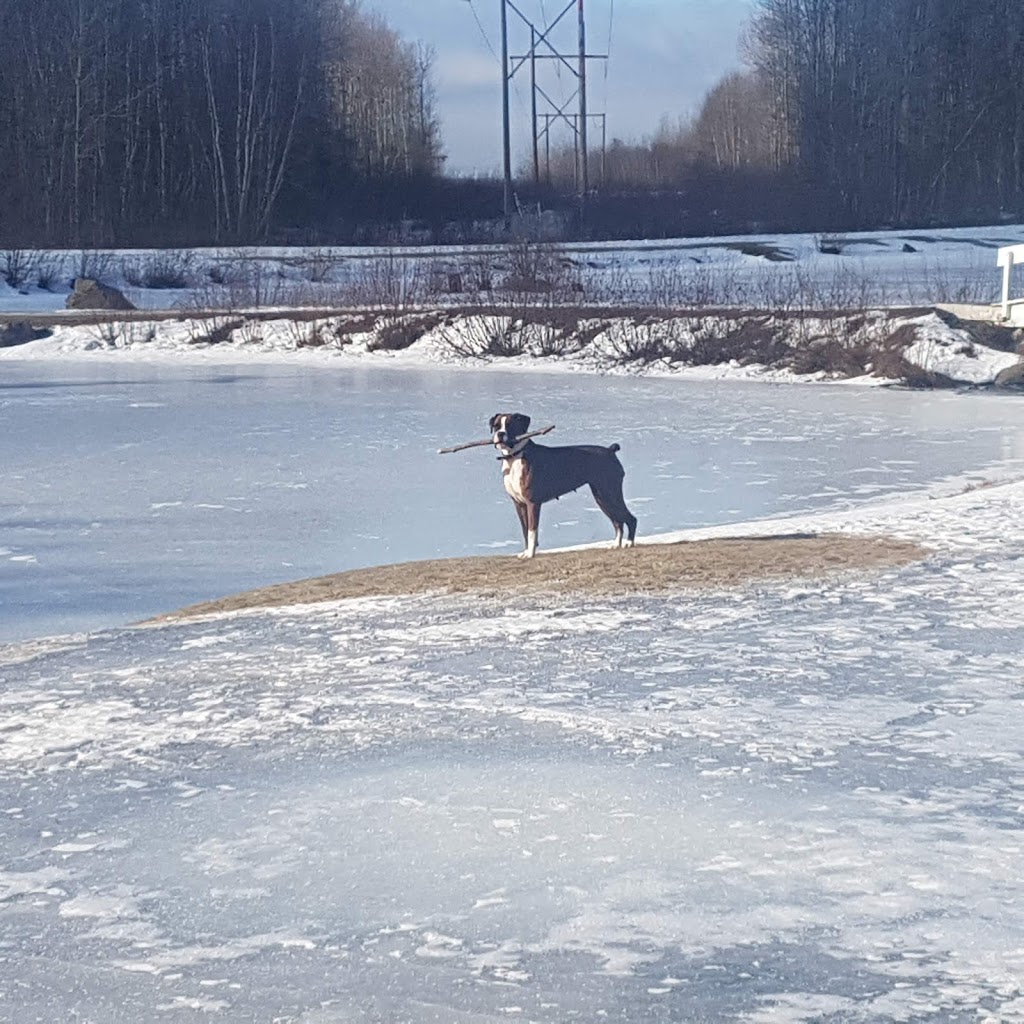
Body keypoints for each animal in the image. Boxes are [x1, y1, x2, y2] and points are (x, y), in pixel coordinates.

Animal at [489, 411, 638, 561]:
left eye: (510, 425)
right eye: (496, 426)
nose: (500, 433)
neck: (515, 457)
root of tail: (610, 450)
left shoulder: (532, 503)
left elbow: (532, 530)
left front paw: (530, 553)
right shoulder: (519, 504)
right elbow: (525, 530)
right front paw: (526, 551)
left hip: (610, 493)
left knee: (630, 519)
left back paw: (629, 542)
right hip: (602, 497)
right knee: (617, 522)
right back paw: (616, 544)